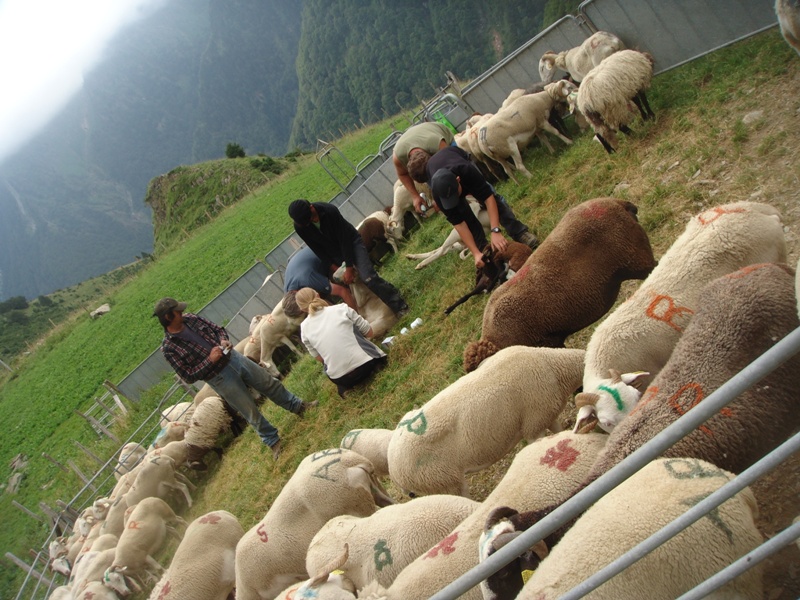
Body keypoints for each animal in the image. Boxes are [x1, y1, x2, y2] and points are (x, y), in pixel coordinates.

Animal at [388, 347, 585, 498]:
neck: (551, 366)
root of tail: (393, 468)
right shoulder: (533, 425)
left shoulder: (547, 414)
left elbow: (558, 431)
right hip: (445, 481)